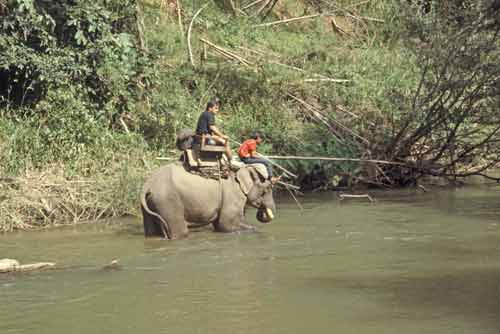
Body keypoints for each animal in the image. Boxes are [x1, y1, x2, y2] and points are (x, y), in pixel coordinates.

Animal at [140, 162, 278, 239]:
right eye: (267, 189)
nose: (263, 210)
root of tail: (147, 185)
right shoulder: (232, 194)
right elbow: (226, 224)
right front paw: (253, 229)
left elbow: (219, 225)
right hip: (168, 201)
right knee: (180, 231)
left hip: (152, 203)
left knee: (151, 232)